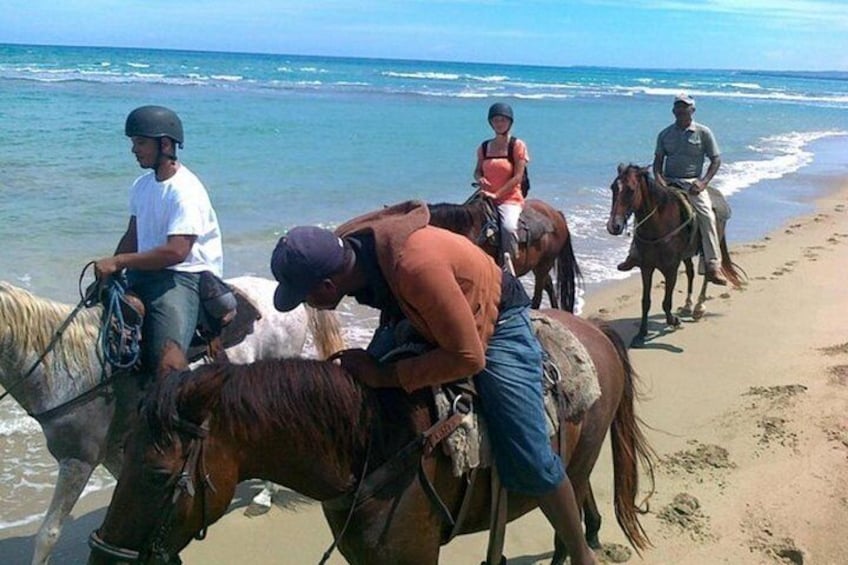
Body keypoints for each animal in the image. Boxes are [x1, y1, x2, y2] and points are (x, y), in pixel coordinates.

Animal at [604, 163, 744, 346]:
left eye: (631, 190)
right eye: (613, 187)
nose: (614, 226)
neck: (657, 225)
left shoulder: (671, 269)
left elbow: (666, 302)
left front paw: (673, 321)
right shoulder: (646, 268)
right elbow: (645, 302)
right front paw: (641, 333)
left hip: (710, 242)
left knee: (707, 274)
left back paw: (698, 307)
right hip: (686, 254)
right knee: (691, 273)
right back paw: (687, 305)